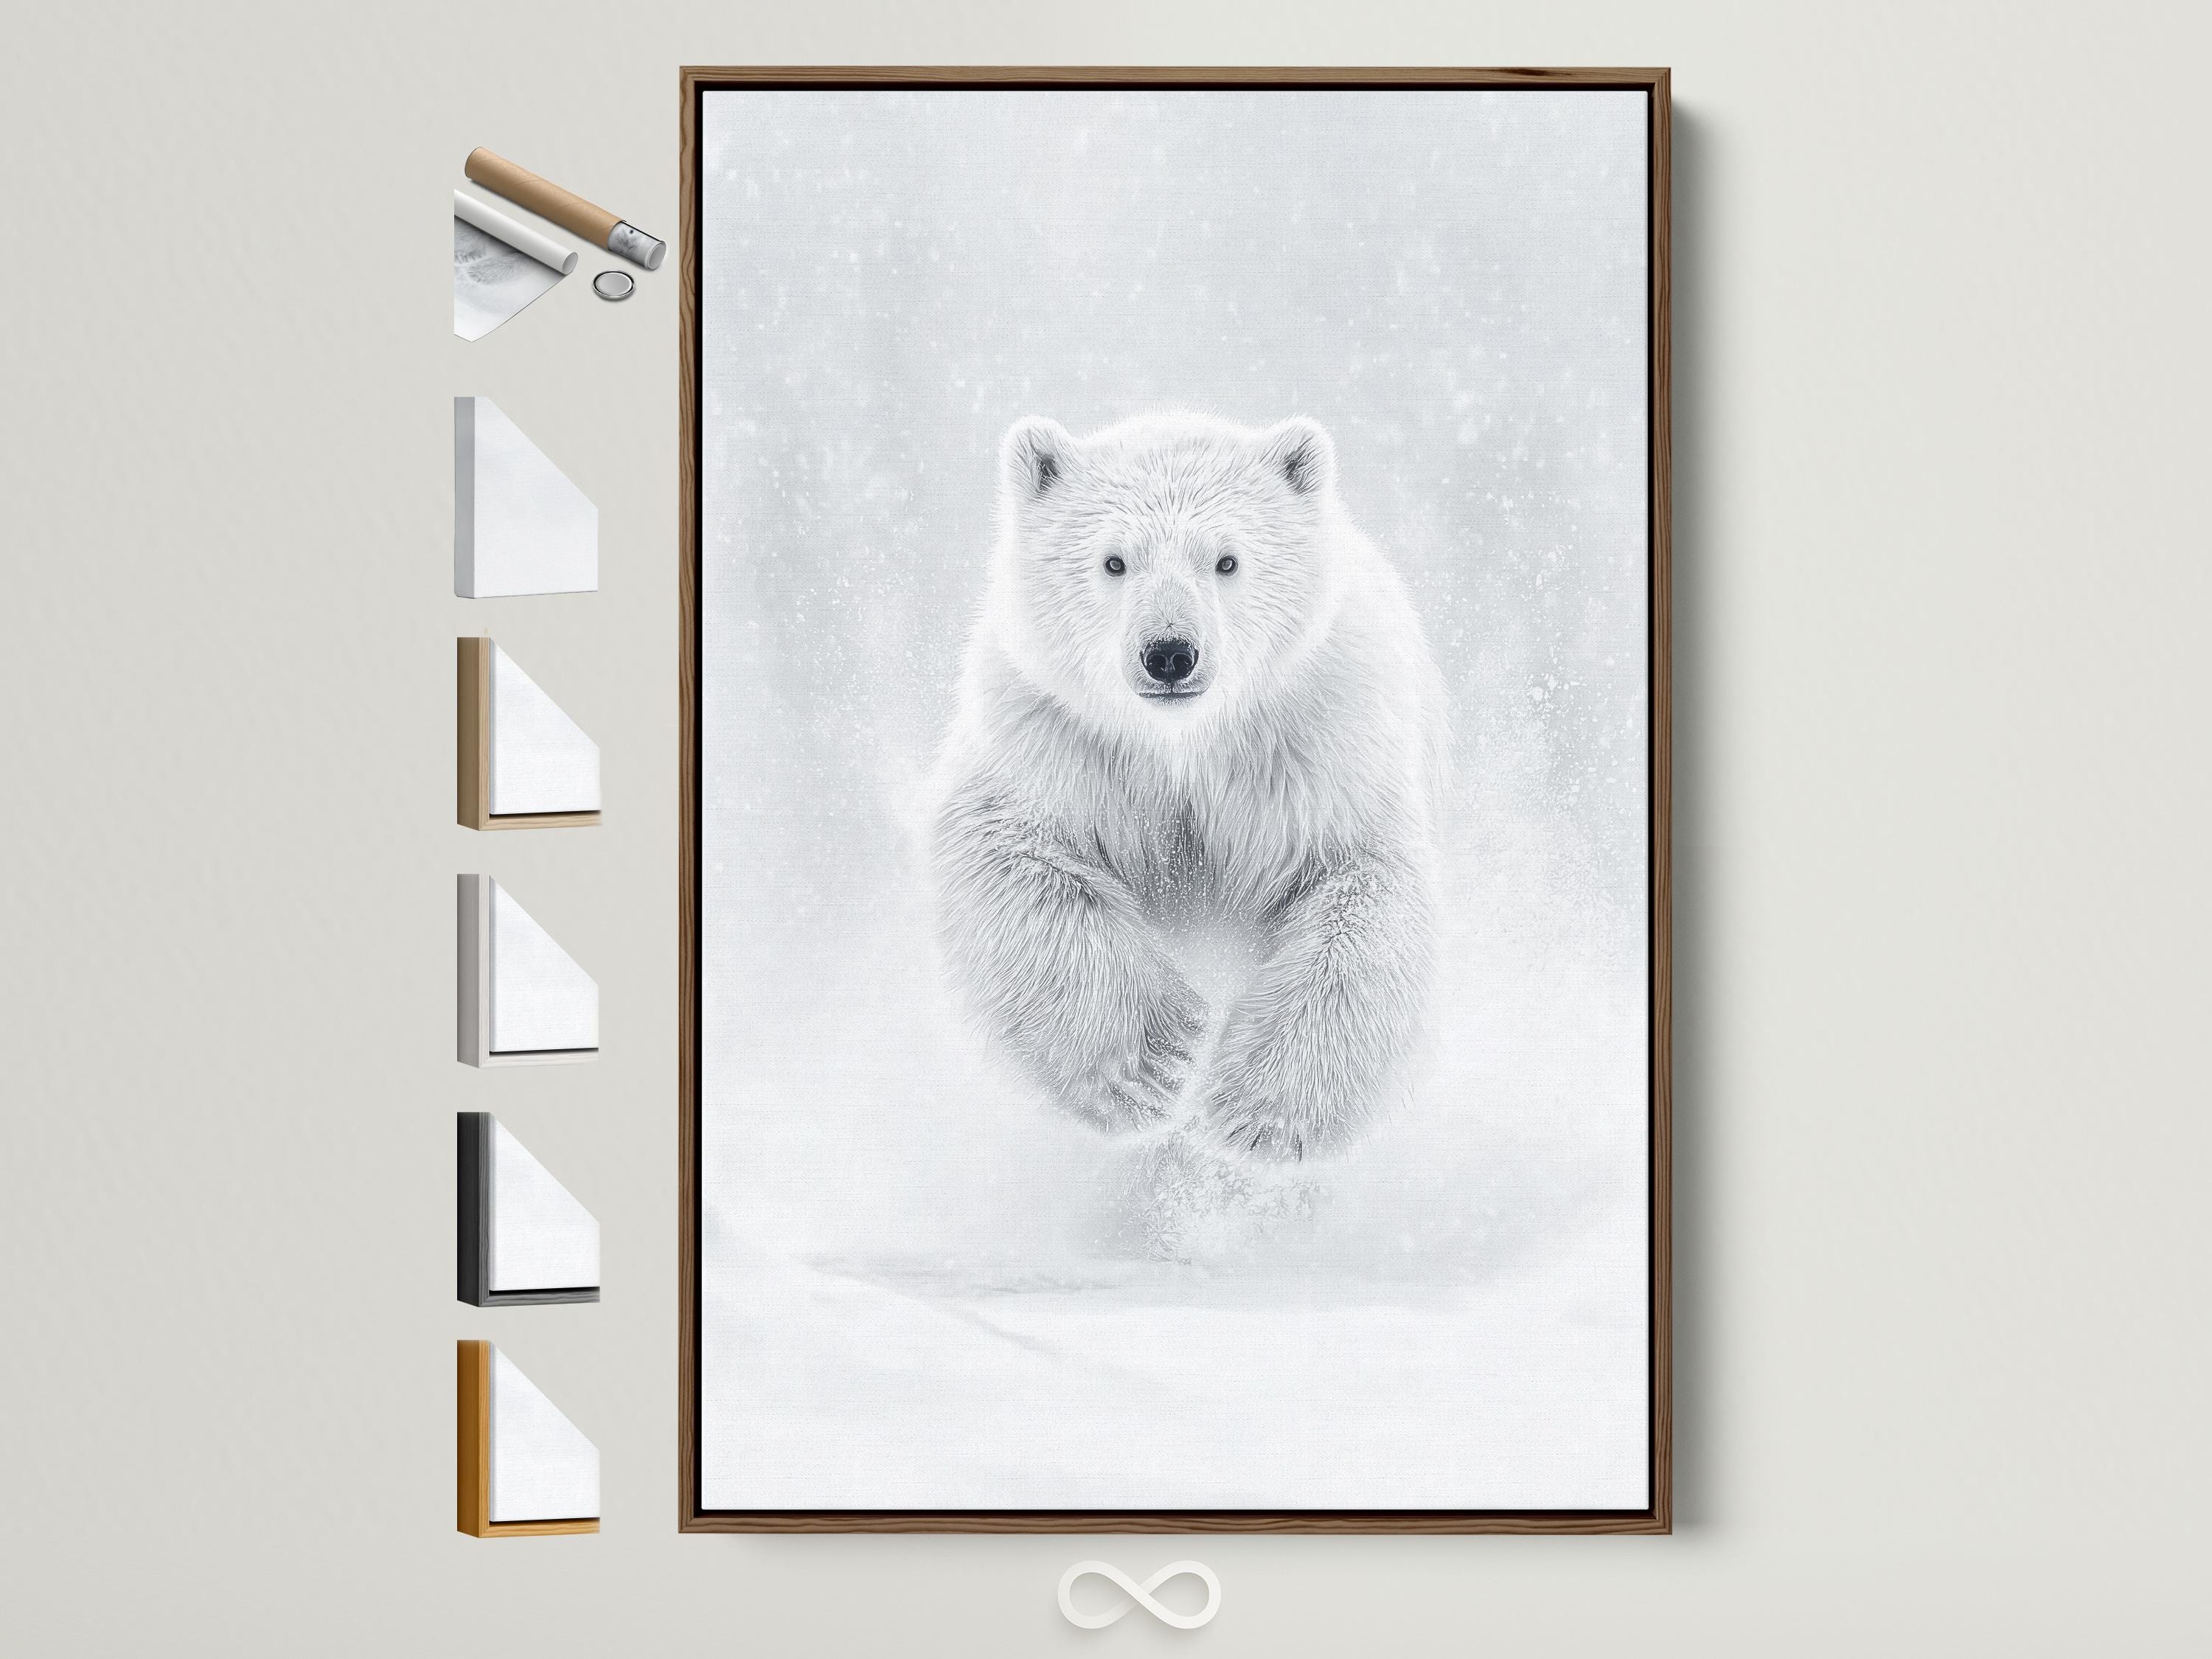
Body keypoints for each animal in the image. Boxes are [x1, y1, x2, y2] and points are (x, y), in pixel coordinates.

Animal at [929, 413, 1449, 1162]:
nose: (1170, 653)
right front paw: (1154, 1065)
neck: (1184, 745)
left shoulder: (1317, 744)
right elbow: (1008, 857)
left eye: (1227, 560)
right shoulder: (1054, 737)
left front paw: (1260, 1118)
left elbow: (1362, 892)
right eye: (1114, 561)